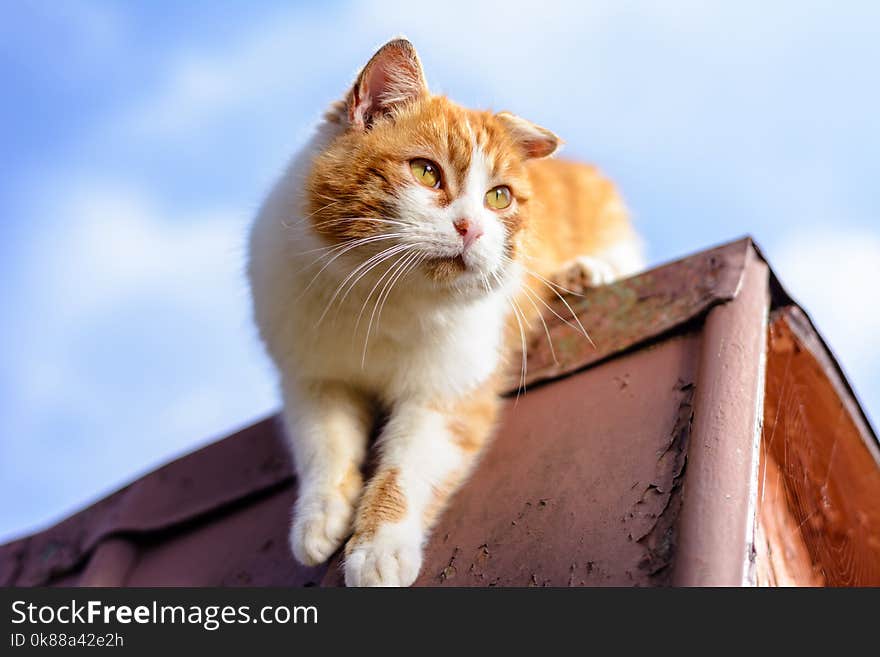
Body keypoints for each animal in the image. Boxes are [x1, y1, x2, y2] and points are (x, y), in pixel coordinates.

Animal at [246, 38, 640, 588]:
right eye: (426, 172)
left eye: (499, 197)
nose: (471, 228)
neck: (383, 298)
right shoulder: (314, 380)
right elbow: (323, 445)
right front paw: (319, 519)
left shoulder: (448, 392)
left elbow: (407, 471)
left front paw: (378, 549)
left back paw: (582, 273)